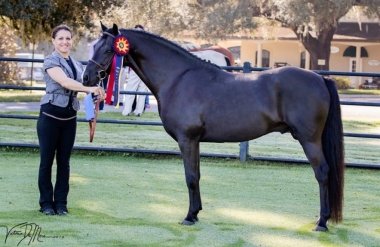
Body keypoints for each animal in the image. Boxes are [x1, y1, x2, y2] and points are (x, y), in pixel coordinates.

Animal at [83, 23, 344, 232]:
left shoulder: (187, 139)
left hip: (309, 139)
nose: (86, 78)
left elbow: (190, 177)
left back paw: (322, 222)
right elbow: (196, 175)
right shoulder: (195, 141)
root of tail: (321, 78)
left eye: (109, 49)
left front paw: (189, 216)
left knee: (322, 173)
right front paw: (196, 213)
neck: (178, 78)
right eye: (93, 46)